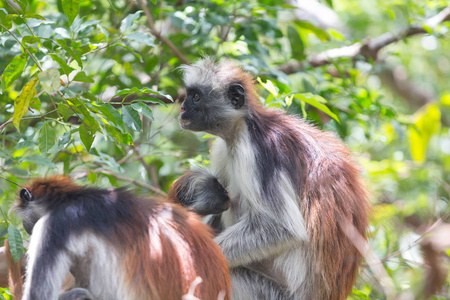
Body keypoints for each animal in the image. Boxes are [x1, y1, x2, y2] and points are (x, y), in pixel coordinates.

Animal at [171, 58, 370, 300]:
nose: (182, 108)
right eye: (189, 95)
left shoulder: (256, 150)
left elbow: (282, 228)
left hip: (271, 293)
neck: (244, 125)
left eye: (196, 97)